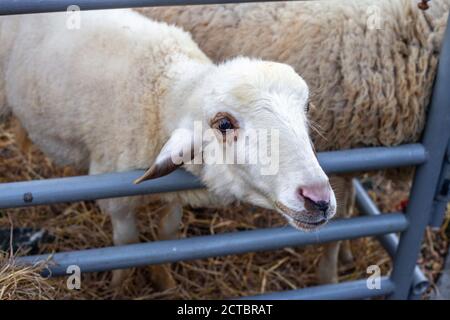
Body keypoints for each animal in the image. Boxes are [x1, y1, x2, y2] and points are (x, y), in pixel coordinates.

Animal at [0, 10, 336, 288]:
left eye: (307, 107)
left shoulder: (175, 190)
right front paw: (119, 286)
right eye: (223, 124)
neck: (160, 89)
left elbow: (167, 237)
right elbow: (126, 245)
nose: (317, 199)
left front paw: (164, 282)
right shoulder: (116, 198)